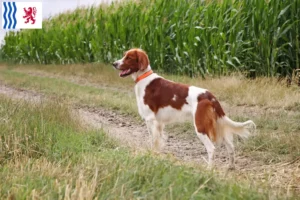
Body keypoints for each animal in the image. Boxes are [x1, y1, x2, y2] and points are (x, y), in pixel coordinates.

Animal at [112, 48, 255, 169]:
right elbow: (159, 141)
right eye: (124, 55)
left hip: (200, 126)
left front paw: (151, 155)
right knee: (230, 146)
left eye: (129, 57)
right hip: (218, 124)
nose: (114, 63)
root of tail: (209, 96)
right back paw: (230, 167)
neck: (144, 78)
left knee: (211, 148)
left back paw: (209, 169)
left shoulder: (150, 119)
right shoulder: (158, 123)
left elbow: (153, 141)